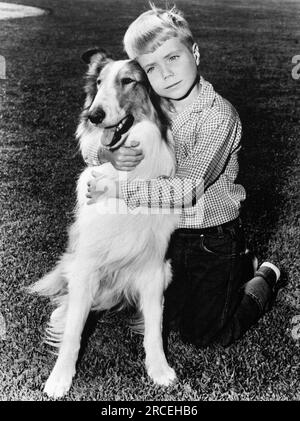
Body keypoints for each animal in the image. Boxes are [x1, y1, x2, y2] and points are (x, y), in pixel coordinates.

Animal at [29, 49, 180, 398]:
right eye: (98, 83)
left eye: (128, 81)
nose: (94, 116)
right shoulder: (86, 264)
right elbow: (74, 332)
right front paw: (60, 378)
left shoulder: (155, 268)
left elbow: (155, 327)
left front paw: (159, 369)